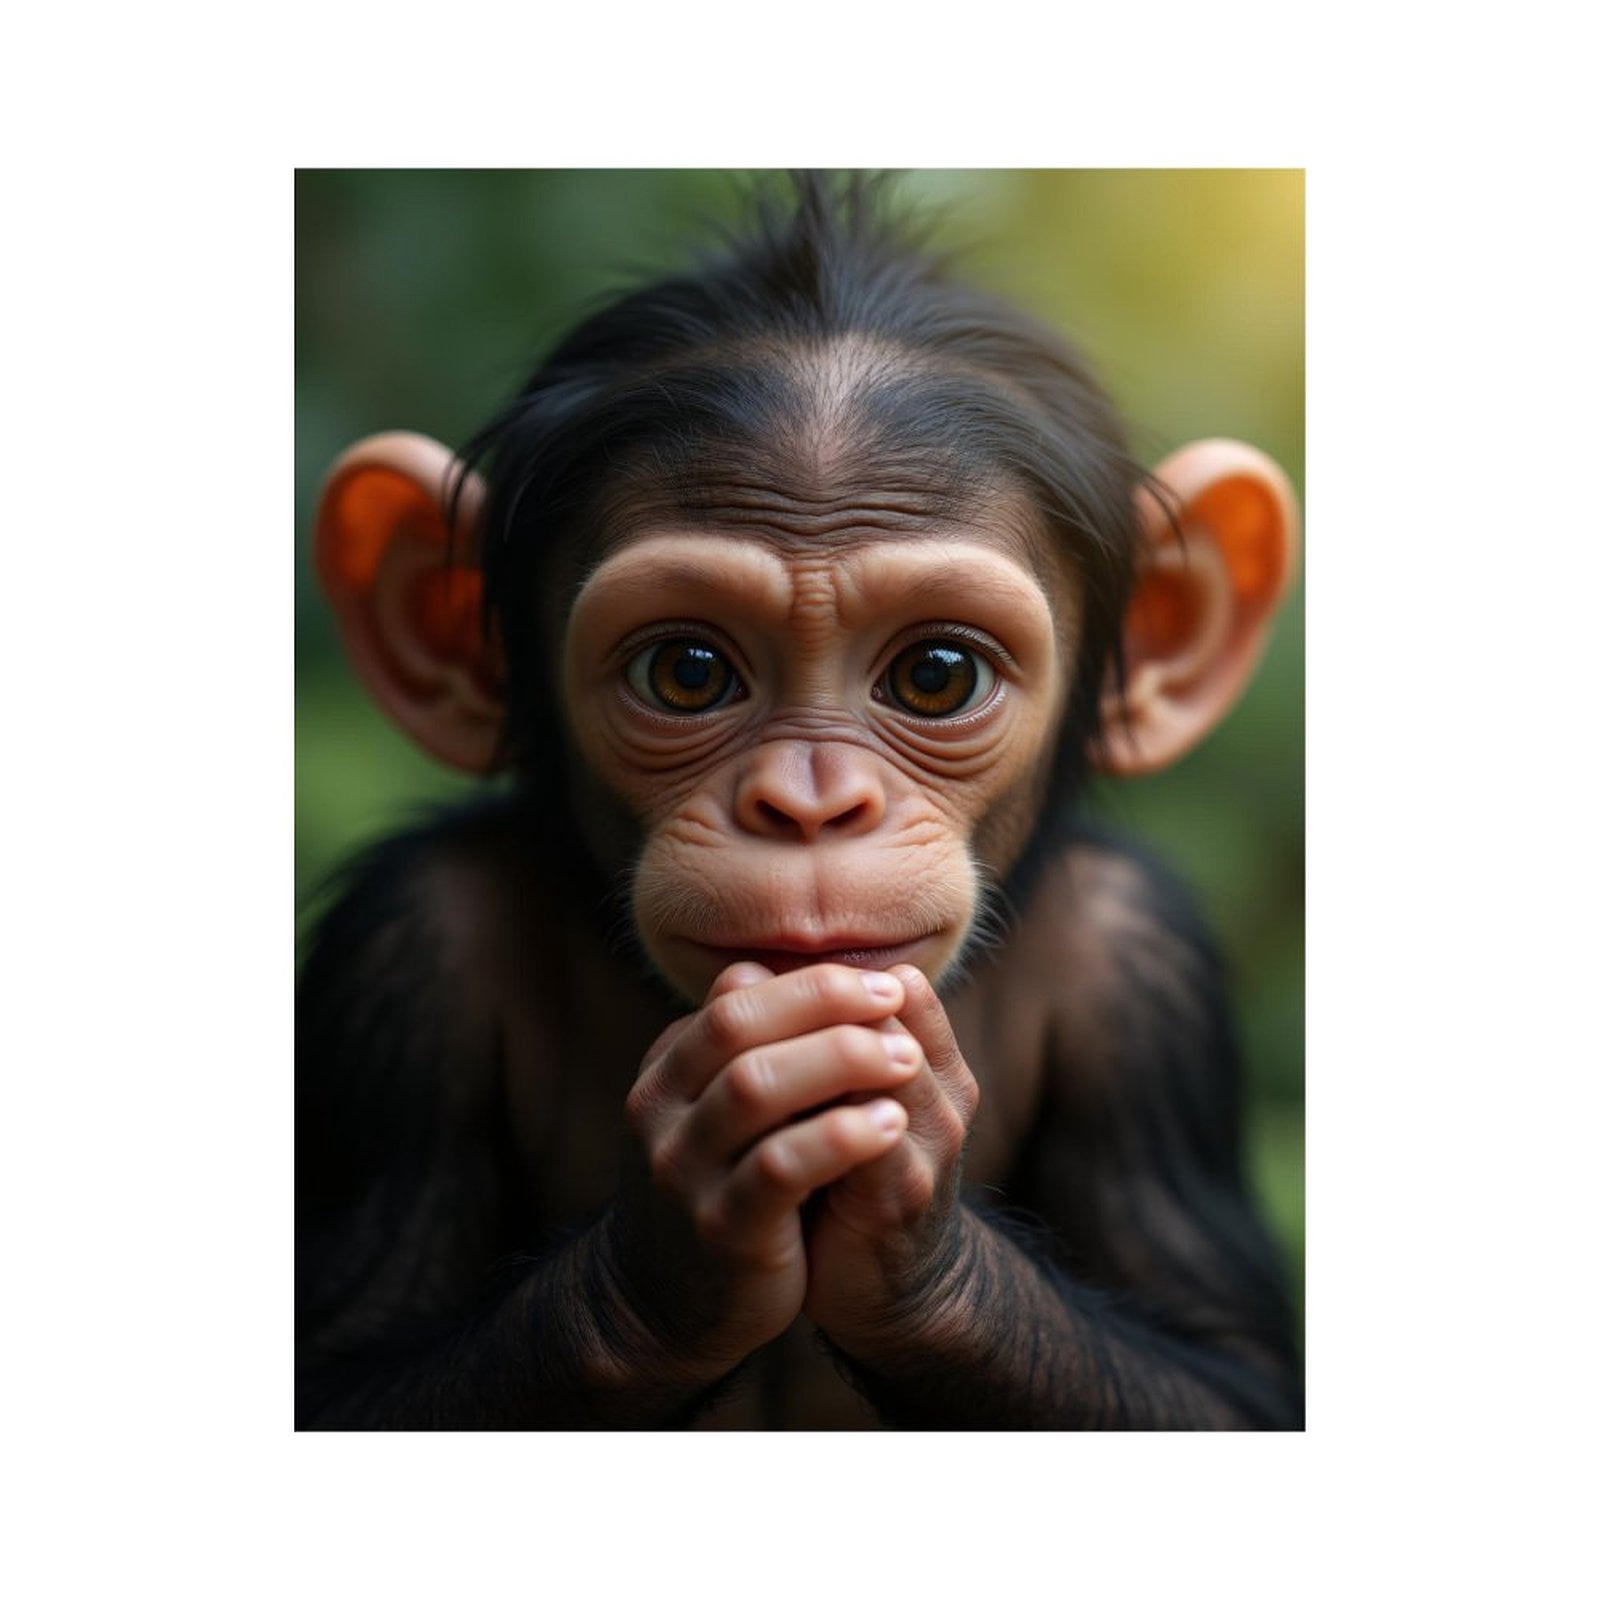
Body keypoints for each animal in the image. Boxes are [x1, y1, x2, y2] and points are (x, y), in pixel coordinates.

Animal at [296, 173, 1303, 1429]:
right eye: (686, 671)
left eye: (937, 673)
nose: (810, 806)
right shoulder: (398, 955)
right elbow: (349, 1360)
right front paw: (673, 1246)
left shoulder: (1144, 968)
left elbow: (1230, 1373)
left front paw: (918, 1246)